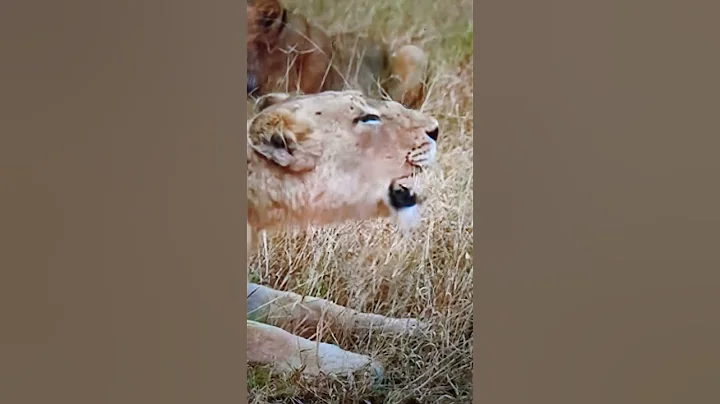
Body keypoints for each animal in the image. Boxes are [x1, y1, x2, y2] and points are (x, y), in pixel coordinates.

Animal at [247, 90, 440, 377]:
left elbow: (313, 305)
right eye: (367, 118)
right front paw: (359, 366)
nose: (436, 129)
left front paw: (410, 328)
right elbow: (267, 336)